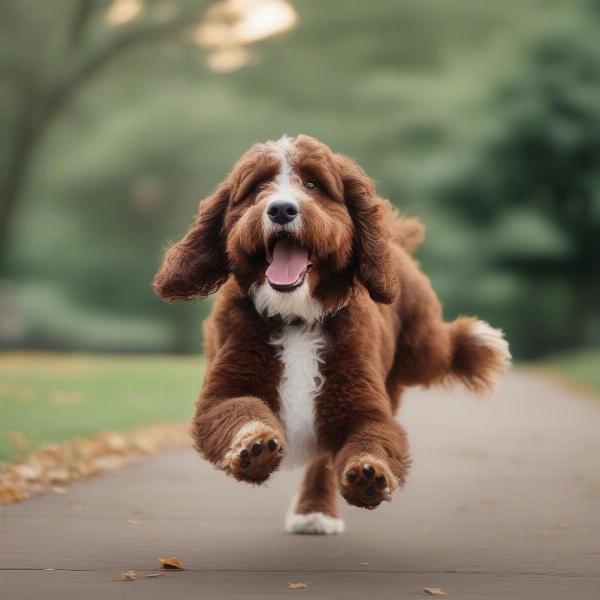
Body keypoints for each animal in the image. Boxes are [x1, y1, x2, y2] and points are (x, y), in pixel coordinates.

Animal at [152, 135, 508, 536]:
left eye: (313, 184)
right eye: (257, 187)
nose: (281, 209)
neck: (296, 318)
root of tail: (394, 240)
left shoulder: (360, 405)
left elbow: (373, 439)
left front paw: (370, 475)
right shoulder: (223, 390)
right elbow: (238, 410)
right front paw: (254, 446)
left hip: (420, 344)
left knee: (439, 349)